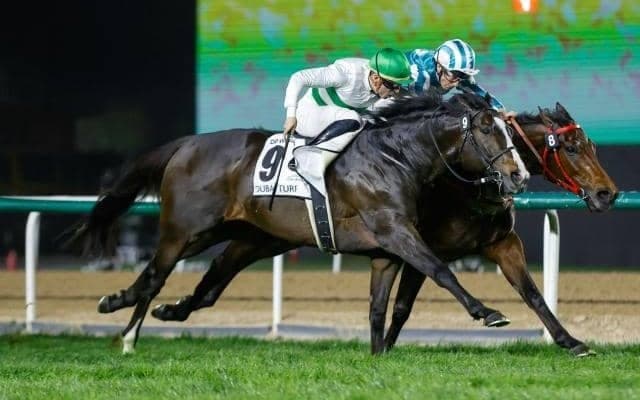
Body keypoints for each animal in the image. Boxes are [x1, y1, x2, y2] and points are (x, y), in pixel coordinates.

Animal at [72, 92, 528, 353]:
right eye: (488, 130)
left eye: (512, 132)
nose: (519, 174)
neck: (396, 157)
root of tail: (187, 144)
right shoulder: (394, 230)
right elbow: (439, 269)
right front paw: (487, 312)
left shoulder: (385, 251)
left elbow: (378, 308)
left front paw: (378, 355)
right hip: (184, 231)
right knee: (155, 275)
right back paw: (127, 335)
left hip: (246, 237)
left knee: (203, 285)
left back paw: (140, 307)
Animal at [372, 101, 617, 357]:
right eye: (571, 148)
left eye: (592, 146)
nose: (607, 194)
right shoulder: (421, 247)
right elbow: (403, 306)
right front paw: (383, 349)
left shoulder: (503, 244)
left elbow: (532, 293)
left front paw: (570, 340)